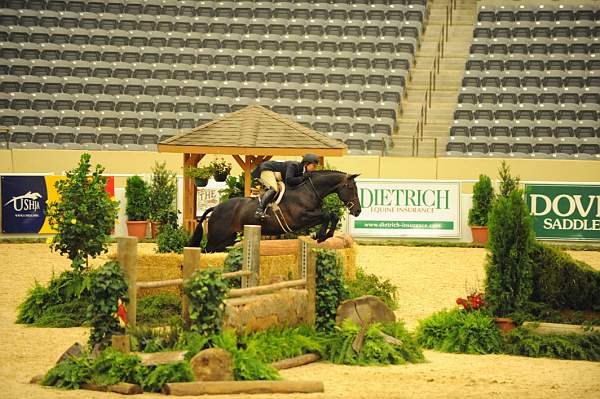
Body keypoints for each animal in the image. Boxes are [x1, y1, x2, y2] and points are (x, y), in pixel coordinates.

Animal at [189, 171, 360, 253]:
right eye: (351, 188)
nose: (358, 211)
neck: (309, 190)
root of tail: (216, 208)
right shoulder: (300, 218)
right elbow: (326, 215)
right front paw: (320, 235)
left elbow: (332, 215)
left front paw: (324, 235)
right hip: (216, 239)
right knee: (205, 251)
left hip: (227, 240)